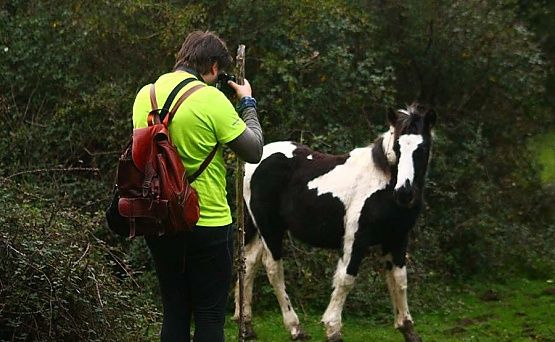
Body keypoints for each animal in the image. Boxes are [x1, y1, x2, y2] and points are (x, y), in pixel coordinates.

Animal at [233, 103, 434, 342]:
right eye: (397, 146)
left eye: (422, 149)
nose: (404, 193)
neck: (383, 184)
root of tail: (255, 161)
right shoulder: (356, 238)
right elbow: (346, 278)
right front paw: (333, 328)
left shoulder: (397, 238)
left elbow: (399, 279)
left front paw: (408, 328)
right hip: (270, 228)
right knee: (273, 269)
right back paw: (295, 328)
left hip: (259, 228)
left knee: (249, 263)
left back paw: (246, 325)